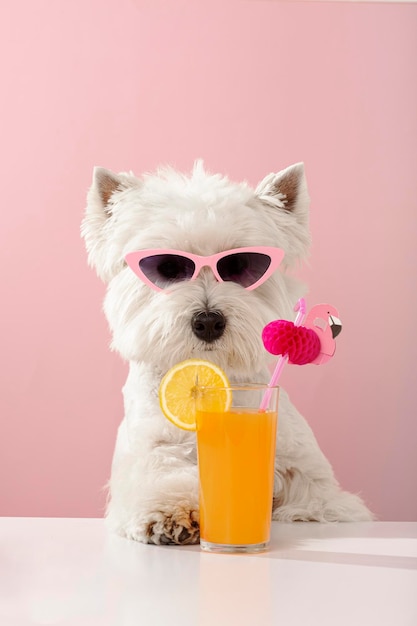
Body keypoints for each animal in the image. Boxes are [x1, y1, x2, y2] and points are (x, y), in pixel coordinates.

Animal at [81, 160, 370, 540]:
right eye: (168, 268)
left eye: (240, 266)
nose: (208, 321)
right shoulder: (152, 450)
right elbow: (161, 477)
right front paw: (171, 513)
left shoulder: (307, 471)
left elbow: (318, 500)